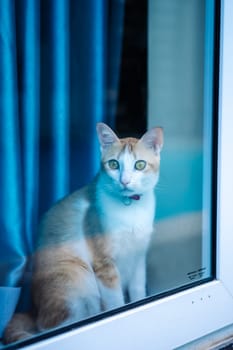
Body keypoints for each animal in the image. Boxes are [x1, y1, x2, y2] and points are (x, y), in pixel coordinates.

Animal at [3, 123, 164, 344]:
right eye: (114, 164)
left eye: (139, 165)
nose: (124, 181)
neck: (131, 208)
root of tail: (34, 310)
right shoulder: (104, 263)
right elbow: (115, 303)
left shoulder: (138, 256)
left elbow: (138, 290)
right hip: (77, 278)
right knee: (51, 327)